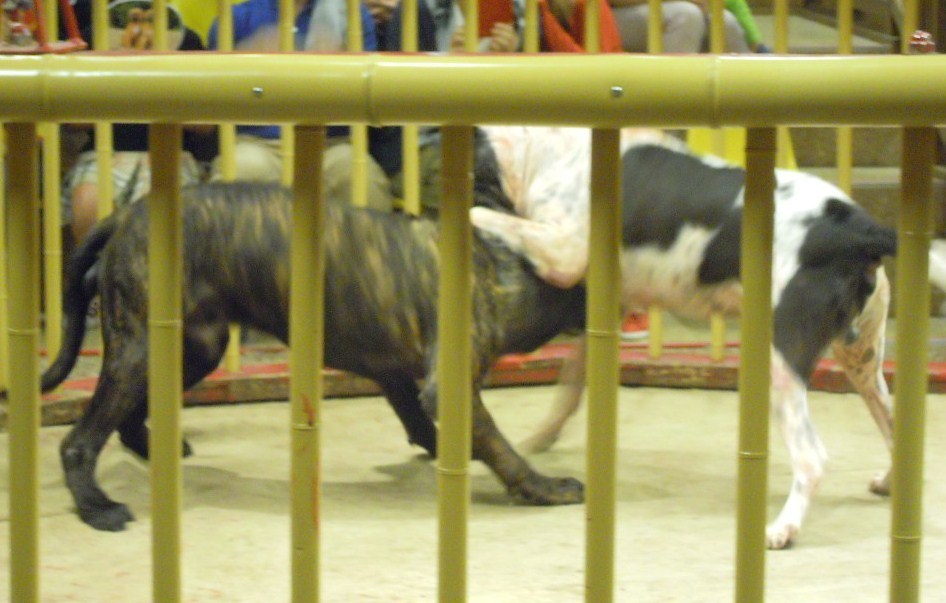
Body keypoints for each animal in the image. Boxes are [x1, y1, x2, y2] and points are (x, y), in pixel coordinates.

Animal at [43, 168, 587, 531]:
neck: (506, 266)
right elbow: (500, 448)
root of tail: (126, 213)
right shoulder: (451, 386)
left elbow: (423, 423)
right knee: (80, 439)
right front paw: (544, 486)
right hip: (140, 348)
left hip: (195, 346)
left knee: (130, 412)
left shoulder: (396, 375)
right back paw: (95, 505)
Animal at [513, 142, 897, 549]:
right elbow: (571, 379)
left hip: (784, 363)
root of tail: (860, 231)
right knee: (894, 426)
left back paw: (783, 528)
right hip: (861, 360)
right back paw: (888, 483)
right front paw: (542, 436)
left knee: (812, 459)